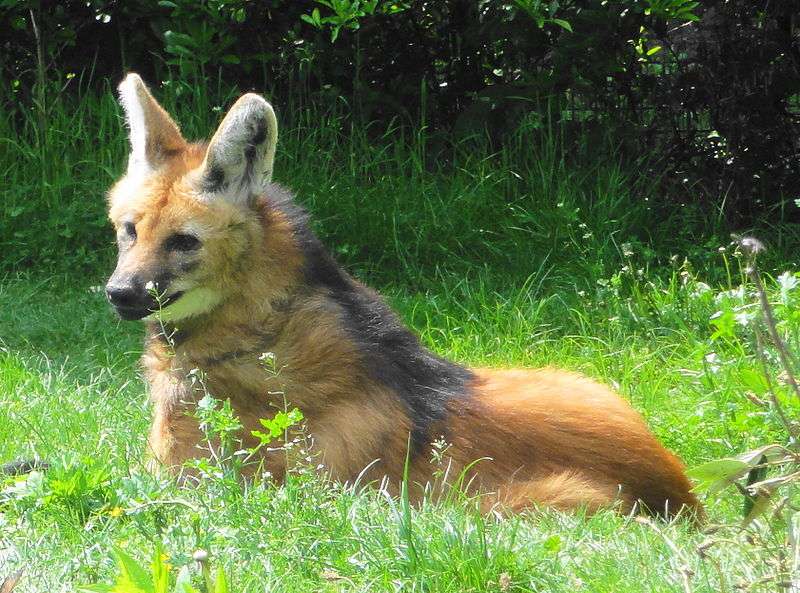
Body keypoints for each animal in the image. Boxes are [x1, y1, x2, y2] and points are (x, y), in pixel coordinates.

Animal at [104, 74, 700, 520]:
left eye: (184, 241)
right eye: (130, 231)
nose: (119, 293)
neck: (257, 328)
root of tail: (680, 492)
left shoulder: (185, 486)